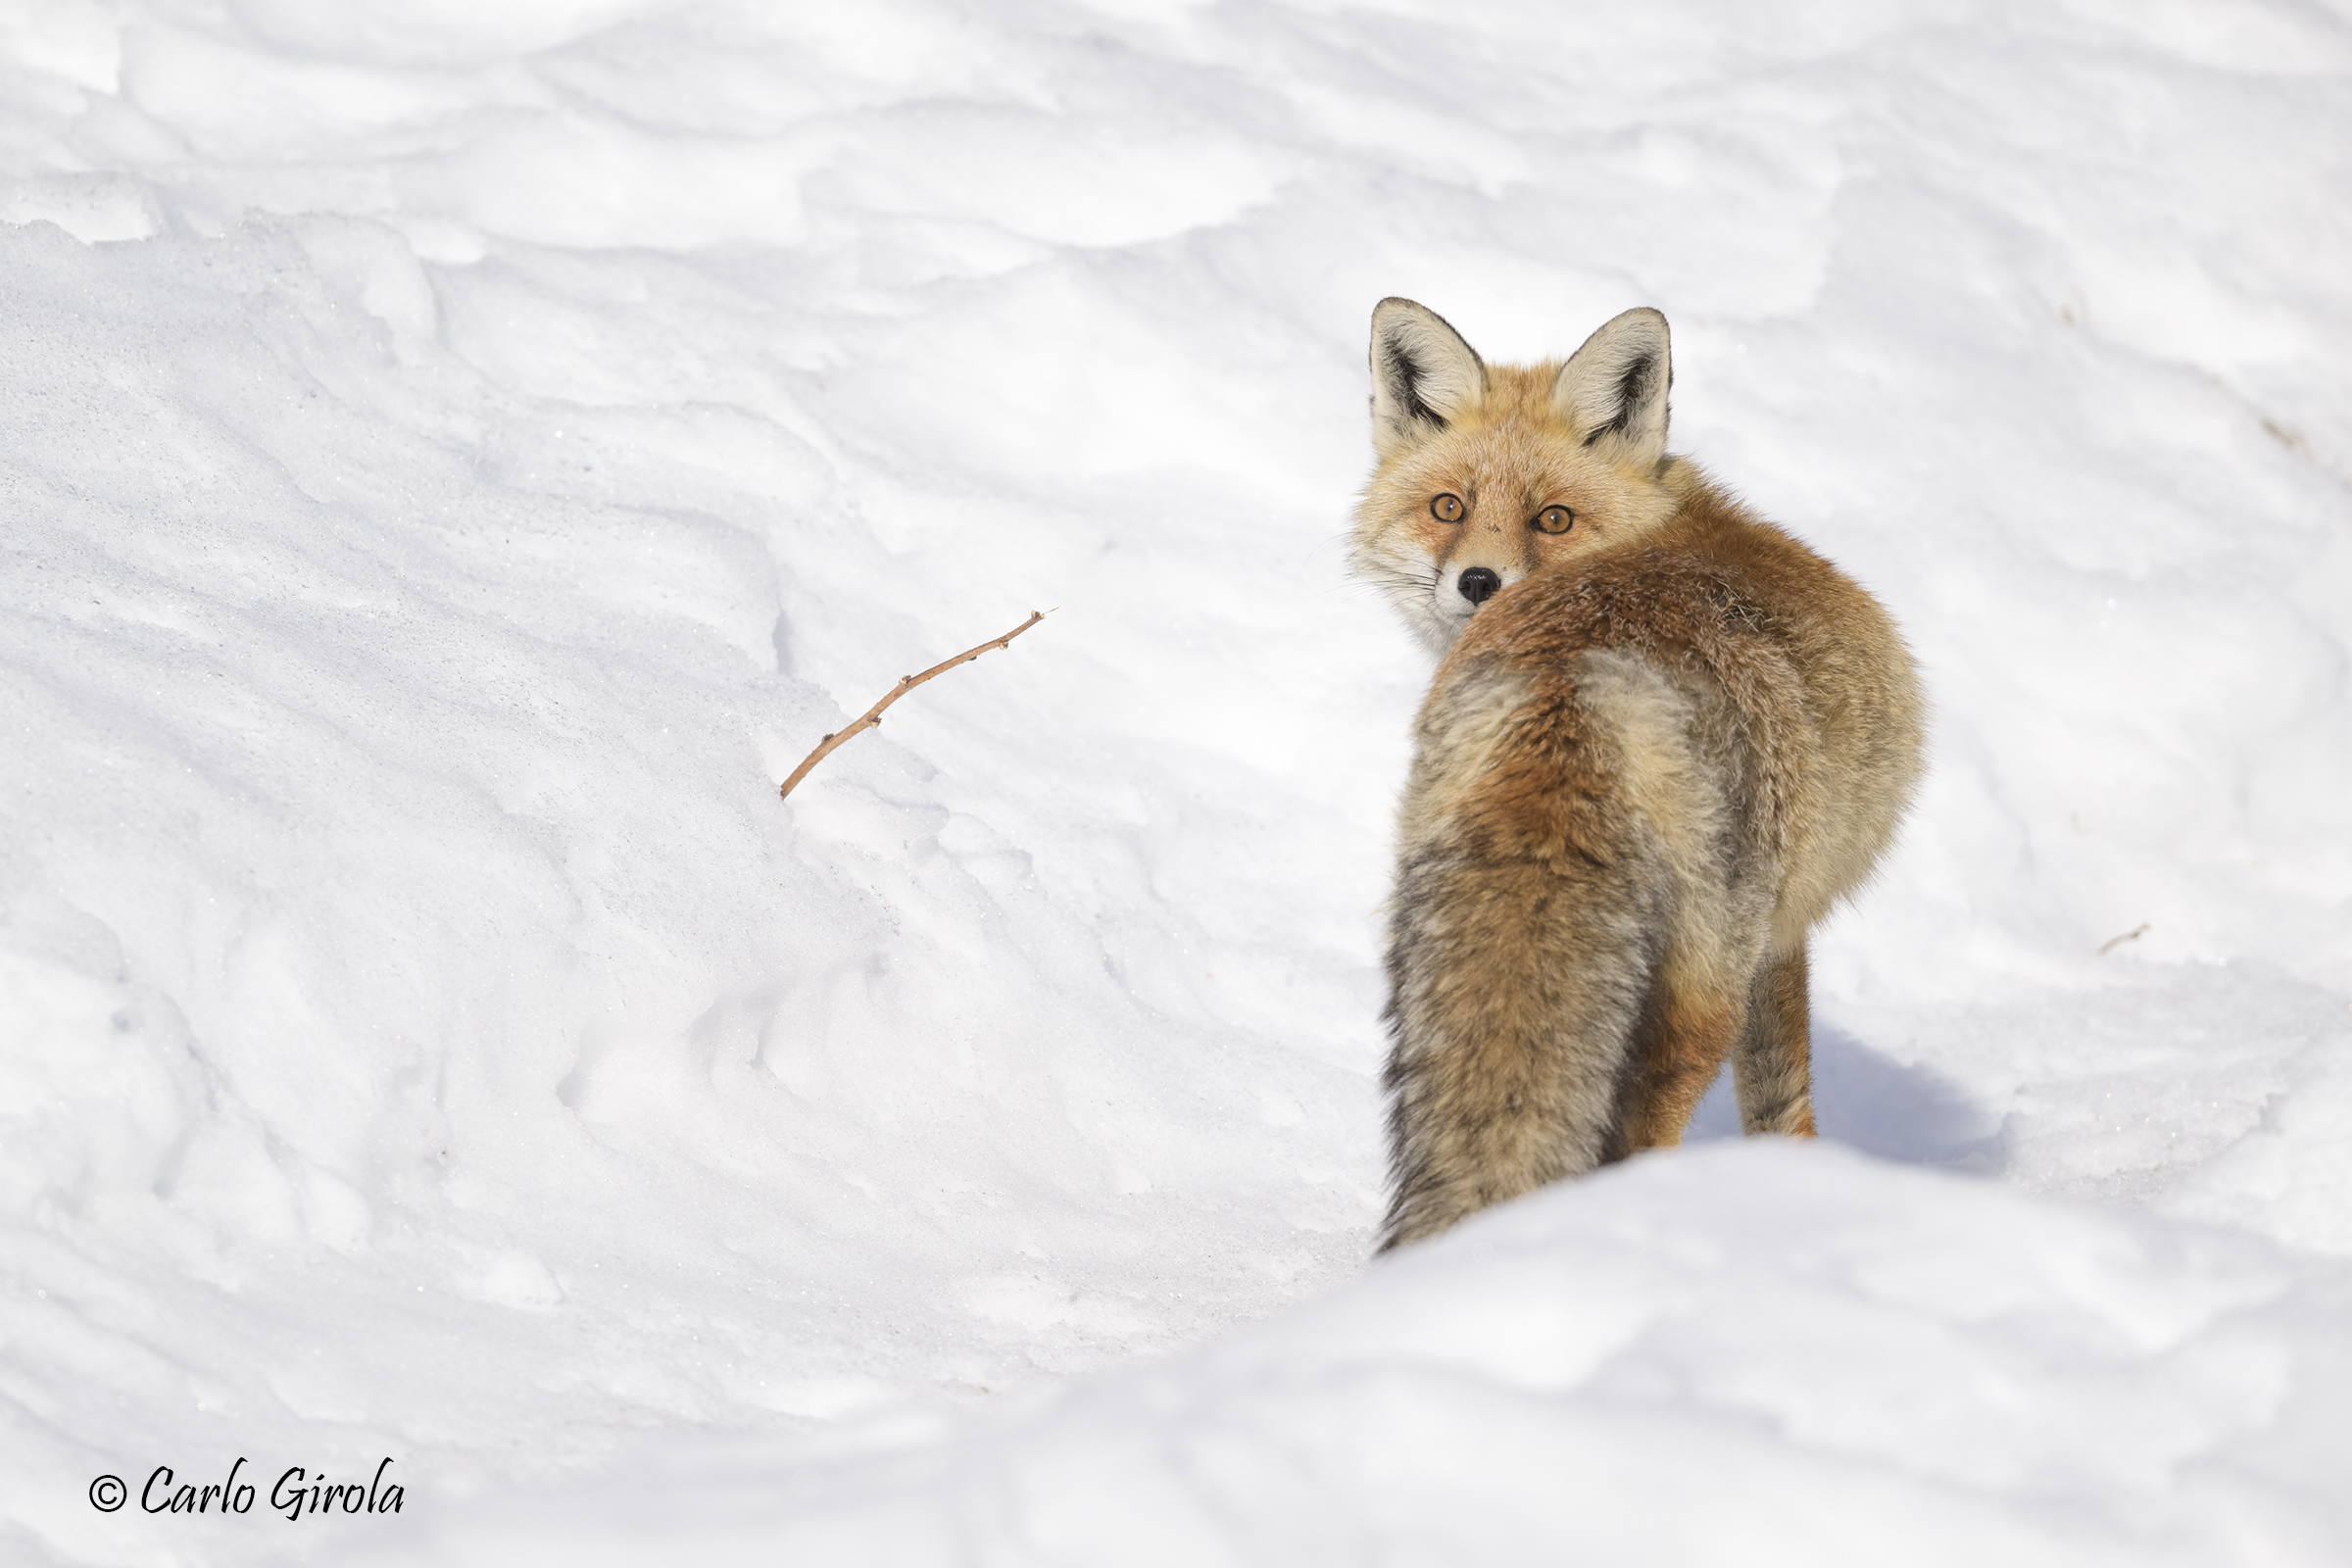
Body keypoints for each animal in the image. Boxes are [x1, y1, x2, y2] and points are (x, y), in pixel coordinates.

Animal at [1350, 299, 1924, 1251]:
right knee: (1645, 1135)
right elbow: (1783, 1099)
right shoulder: (1780, 934)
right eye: (1448, 507)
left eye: (1553, 519)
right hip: (1702, 988)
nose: (1479, 583)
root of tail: (1573, 682)